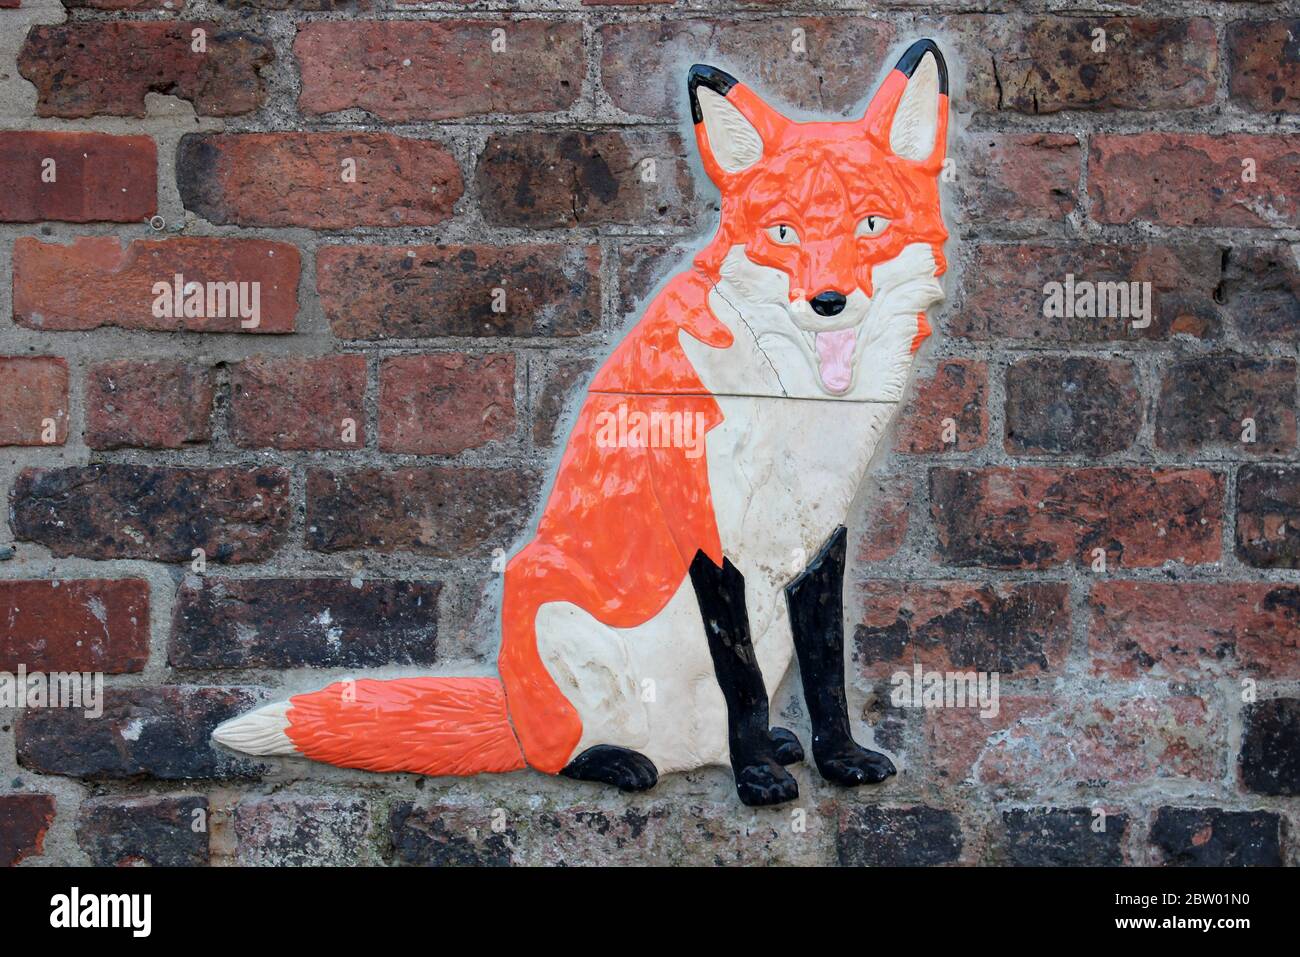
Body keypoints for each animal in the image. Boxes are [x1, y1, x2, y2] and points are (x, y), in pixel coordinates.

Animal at [214, 40, 952, 807]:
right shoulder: (707, 535)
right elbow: (742, 679)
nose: (828, 301)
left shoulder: (822, 530)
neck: (796, 404)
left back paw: (753, 749)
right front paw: (755, 777)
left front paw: (839, 758)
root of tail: (509, 708)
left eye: (871, 225)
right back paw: (625, 760)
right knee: (556, 754)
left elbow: (828, 667)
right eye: (783, 233)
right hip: (550, 607)